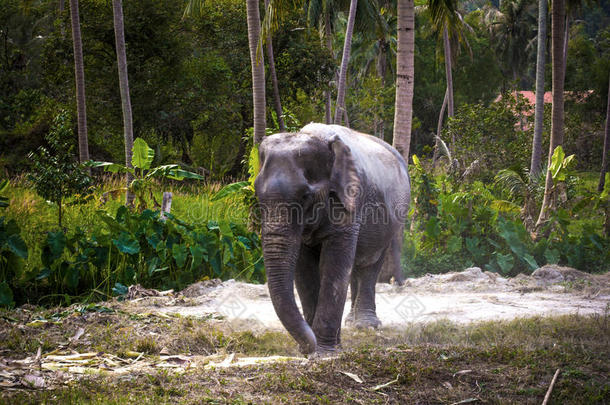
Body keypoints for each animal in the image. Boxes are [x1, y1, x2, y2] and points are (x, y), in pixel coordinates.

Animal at [253, 123, 408, 354]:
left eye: (305, 196)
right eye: (257, 195)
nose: (306, 348)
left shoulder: (350, 200)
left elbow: (334, 264)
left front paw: (324, 351)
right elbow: (305, 269)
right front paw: (314, 348)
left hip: (392, 223)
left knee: (370, 264)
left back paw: (365, 325)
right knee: (355, 265)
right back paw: (351, 322)